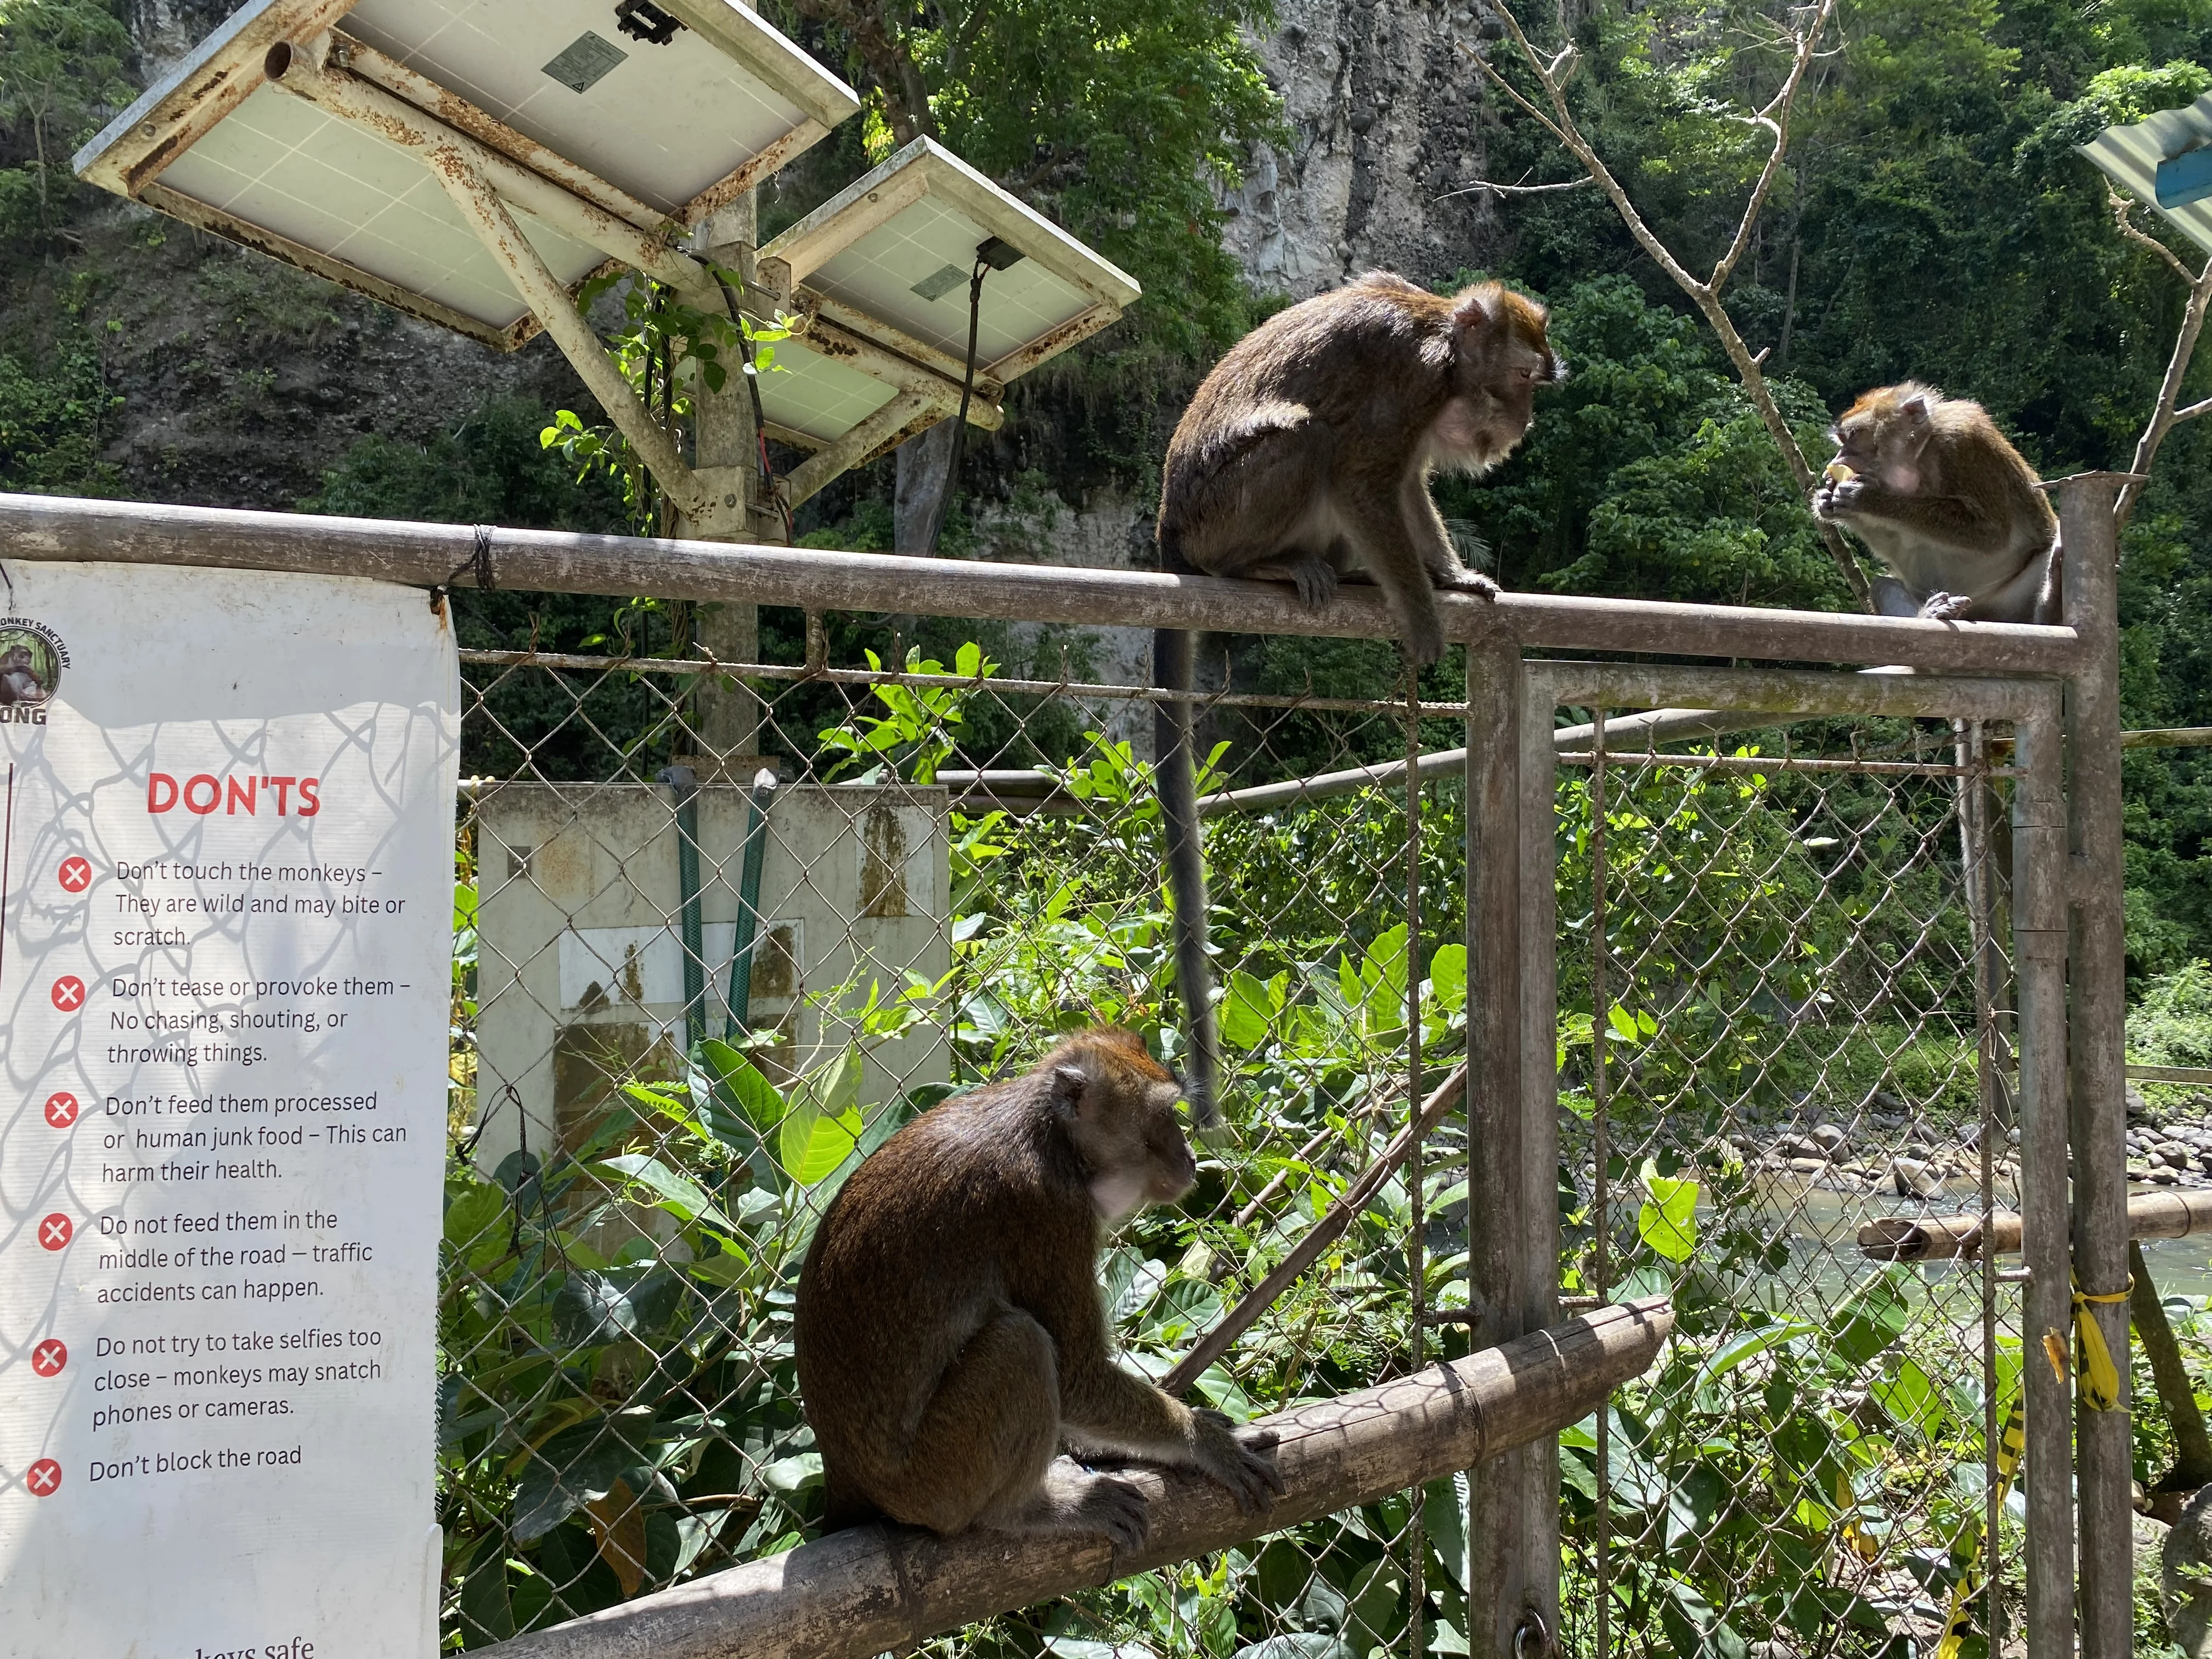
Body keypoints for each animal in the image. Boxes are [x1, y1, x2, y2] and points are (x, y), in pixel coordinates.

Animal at [793, 1027, 1283, 1551]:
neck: (1053, 1138)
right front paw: (1205, 1443)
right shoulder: (1050, 1212)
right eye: (1164, 1115)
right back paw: (1028, 1510)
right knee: (1020, 1343)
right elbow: (1076, 1377)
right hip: (934, 1485)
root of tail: (846, 1481)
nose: (1189, 1155)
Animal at [1150, 272, 1563, 1119]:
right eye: (1520, 379)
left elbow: (1406, 485)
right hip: (1220, 512)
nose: (1523, 424)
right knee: (1313, 441)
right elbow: (1366, 479)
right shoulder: (1411, 384)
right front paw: (1423, 608)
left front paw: (1452, 577)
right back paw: (1267, 566)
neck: (1445, 341)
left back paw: (1353, 575)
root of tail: (1169, 530)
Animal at [1811, 382, 2061, 625]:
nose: (1835, 462)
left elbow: (1994, 534)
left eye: (1852, 436)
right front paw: (1827, 501)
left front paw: (1867, 498)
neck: (1920, 458)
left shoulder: (1965, 445)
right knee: (1884, 585)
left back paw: (2051, 605)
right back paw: (1930, 614)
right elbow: (1895, 544)